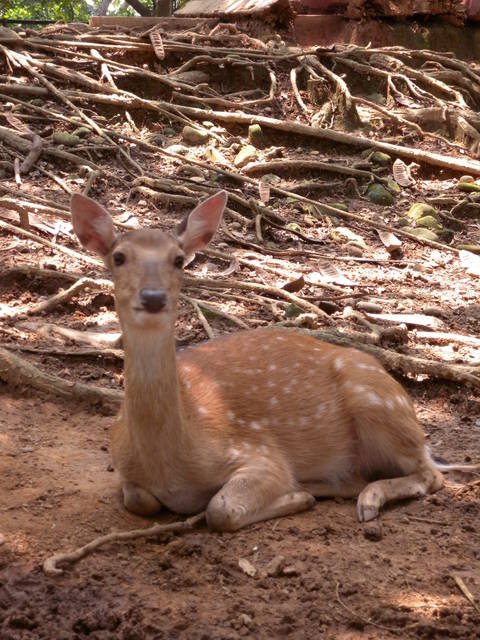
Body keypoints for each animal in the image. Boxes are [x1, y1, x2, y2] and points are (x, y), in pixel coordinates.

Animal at [70, 192, 476, 532]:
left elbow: (220, 509)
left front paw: (297, 496)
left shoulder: (260, 454)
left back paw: (364, 499)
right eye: (119, 257)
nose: (153, 297)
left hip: (378, 402)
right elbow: (138, 499)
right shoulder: (123, 466)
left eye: (178, 260)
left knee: (432, 474)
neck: (169, 462)